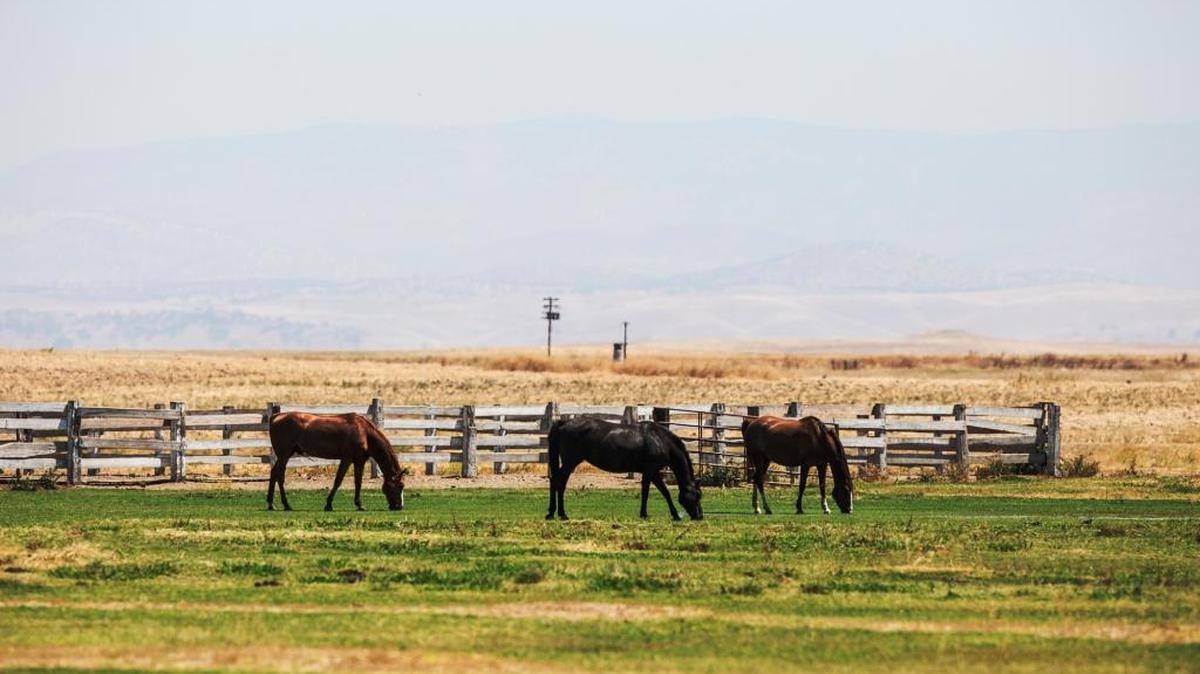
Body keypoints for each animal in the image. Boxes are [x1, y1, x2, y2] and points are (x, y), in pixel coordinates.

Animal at [267, 412, 407, 511]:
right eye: (400, 486)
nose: (399, 507)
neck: (364, 432)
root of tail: (276, 417)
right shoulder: (346, 459)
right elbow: (338, 481)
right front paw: (329, 504)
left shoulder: (359, 461)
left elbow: (358, 482)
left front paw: (359, 504)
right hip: (284, 455)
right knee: (280, 477)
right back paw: (286, 505)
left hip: (284, 456)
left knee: (273, 474)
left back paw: (271, 504)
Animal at [546, 416, 703, 521]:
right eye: (697, 495)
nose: (700, 516)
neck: (660, 440)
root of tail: (563, 423)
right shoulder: (649, 471)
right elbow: (646, 492)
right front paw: (644, 515)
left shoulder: (654, 473)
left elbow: (665, 492)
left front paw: (675, 515)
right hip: (570, 462)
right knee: (559, 482)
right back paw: (560, 514)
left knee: (556, 481)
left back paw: (554, 513)